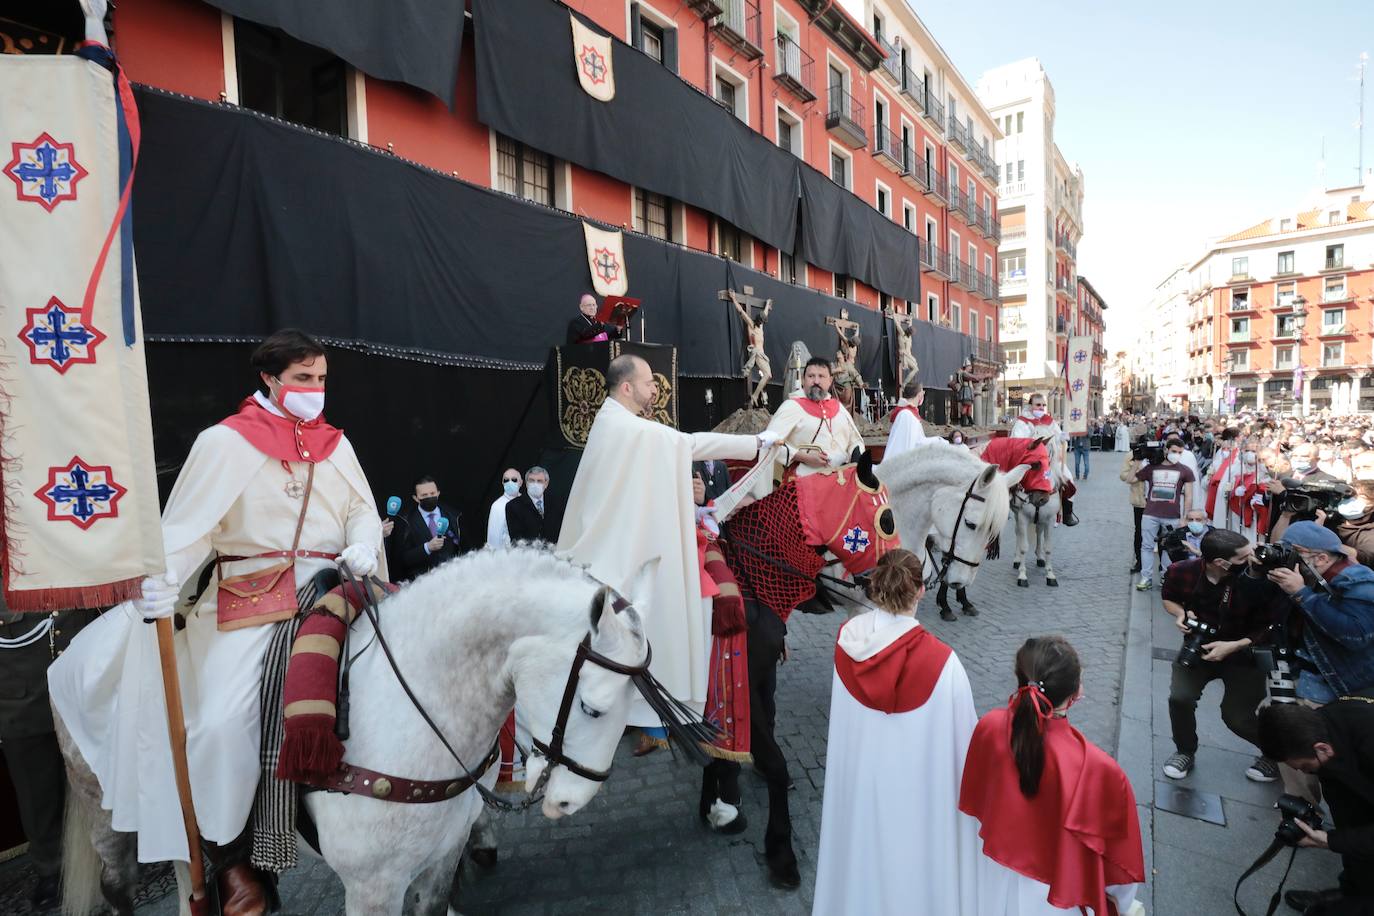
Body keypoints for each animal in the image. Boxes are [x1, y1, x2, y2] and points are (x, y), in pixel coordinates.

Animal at [63, 549, 659, 916]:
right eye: (593, 708)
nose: (568, 802)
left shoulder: (439, 859)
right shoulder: (373, 888)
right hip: (110, 815)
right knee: (121, 885)